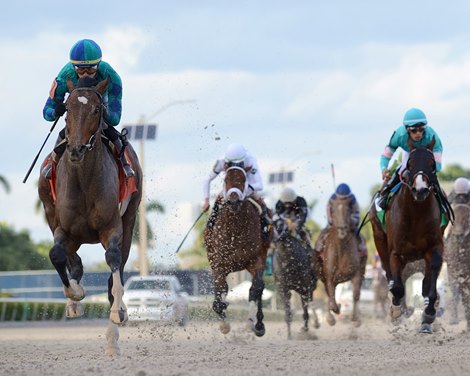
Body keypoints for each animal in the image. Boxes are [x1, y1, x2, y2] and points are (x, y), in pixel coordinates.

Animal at [37, 78, 141, 354]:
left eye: (96, 109)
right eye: (67, 110)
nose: (75, 149)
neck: (83, 179)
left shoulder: (111, 227)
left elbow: (113, 261)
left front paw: (118, 312)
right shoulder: (63, 228)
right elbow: (57, 254)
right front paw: (74, 295)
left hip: (131, 218)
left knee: (119, 266)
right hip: (50, 211)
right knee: (72, 259)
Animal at [204, 166, 274, 336]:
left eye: (243, 179)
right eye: (225, 179)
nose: (234, 200)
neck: (235, 229)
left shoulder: (256, 260)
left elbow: (256, 288)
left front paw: (252, 323)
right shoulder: (219, 265)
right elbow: (220, 295)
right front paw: (224, 324)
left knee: (258, 287)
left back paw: (258, 325)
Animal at [314, 194, 370, 326]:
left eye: (348, 209)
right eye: (333, 210)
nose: (342, 228)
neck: (341, 251)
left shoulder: (356, 274)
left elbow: (355, 294)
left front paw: (356, 318)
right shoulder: (329, 276)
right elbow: (331, 298)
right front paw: (334, 313)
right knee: (329, 294)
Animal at [370, 137, 448, 332]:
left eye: (432, 163)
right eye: (410, 164)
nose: (420, 190)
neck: (416, 213)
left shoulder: (435, 247)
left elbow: (430, 281)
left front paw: (428, 314)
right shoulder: (396, 253)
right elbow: (397, 287)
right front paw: (397, 311)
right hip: (379, 239)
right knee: (390, 276)